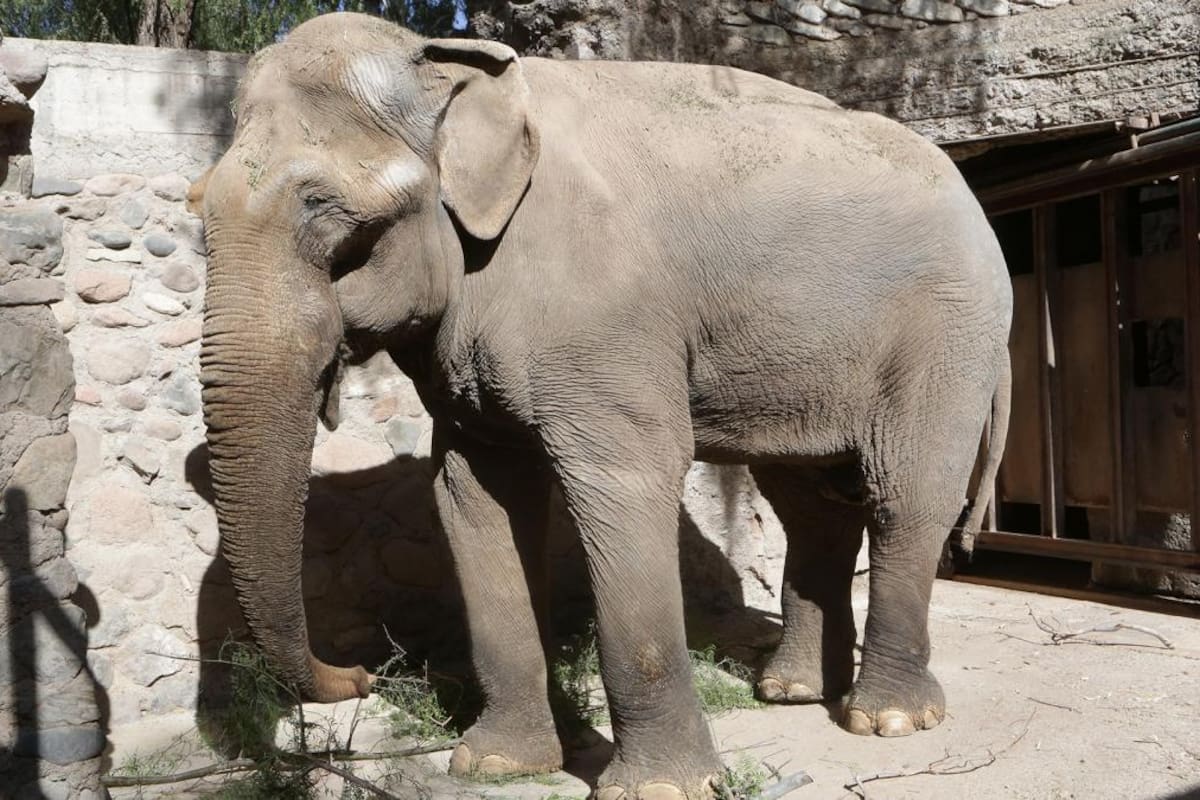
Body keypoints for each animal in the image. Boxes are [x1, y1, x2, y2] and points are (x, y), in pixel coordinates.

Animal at [190, 12, 1013, 800]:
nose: (361, 676)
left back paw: (888, 719)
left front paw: (660, 788)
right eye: (198, 207)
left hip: (947, 332)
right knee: (810, 503)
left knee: (905, 494)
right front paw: (496, 765)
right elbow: (473, 495)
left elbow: (623, 484)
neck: (455, 70)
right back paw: (793, 692)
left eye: (325, 210)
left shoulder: (606, 318)